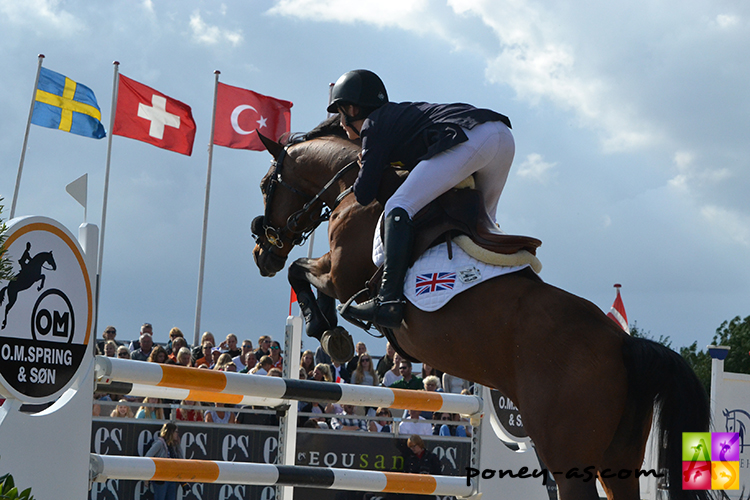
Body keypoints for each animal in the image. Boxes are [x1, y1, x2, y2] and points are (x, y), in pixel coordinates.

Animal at [251, 118, 712, 500]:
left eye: (265, 184)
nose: (261, 253)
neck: (357, 185)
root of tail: (623, 344)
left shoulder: (340, 274)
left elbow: (301, 271)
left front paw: (327, 329)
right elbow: (302, 273)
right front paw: (332, 332)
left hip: (568, 456)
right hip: (620, 460)